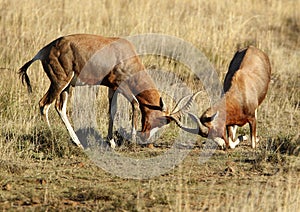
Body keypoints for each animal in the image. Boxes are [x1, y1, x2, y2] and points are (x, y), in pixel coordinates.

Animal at [18, 33, 204, 149]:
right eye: (161, 120)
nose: (146, 139)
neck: (124, 52)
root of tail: (44, 50)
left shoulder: (112, 88)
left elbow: (112, 111)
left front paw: (112, 142)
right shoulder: (120, 85)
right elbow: (135, 104)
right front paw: (130, 140)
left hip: (68, 86)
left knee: (59, 107)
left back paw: (77, 142)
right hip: (59, 82)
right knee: (44, 104)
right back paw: (54, 138)